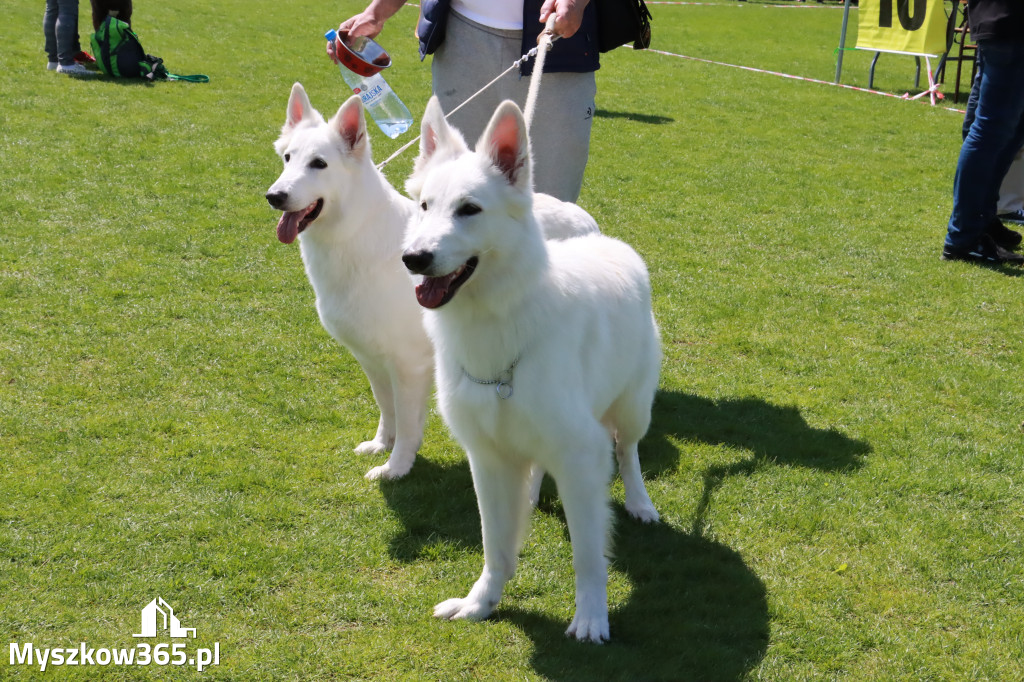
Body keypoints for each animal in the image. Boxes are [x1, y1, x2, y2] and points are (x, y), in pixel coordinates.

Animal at [266, 84, 598, 477]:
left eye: (319, 164)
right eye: (288, 158)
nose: (274, 196)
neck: (356, 239)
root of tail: (584, 218)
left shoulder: (408, 366)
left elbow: (408, 423)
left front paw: (396, 467)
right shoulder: (371, 359)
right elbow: (386, 408)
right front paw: (381, 444)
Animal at [401, 98, 663, 638]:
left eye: (469, 210)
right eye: (424, 207)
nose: (413, 258)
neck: (500, 324)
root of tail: (611, 242)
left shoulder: (583, 457)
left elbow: (588, 553)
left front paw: (591, 617)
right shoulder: (487, 459)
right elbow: (495, 547)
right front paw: (480, 603)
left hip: (632, 412)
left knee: (628, 453)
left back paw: (640, 503)